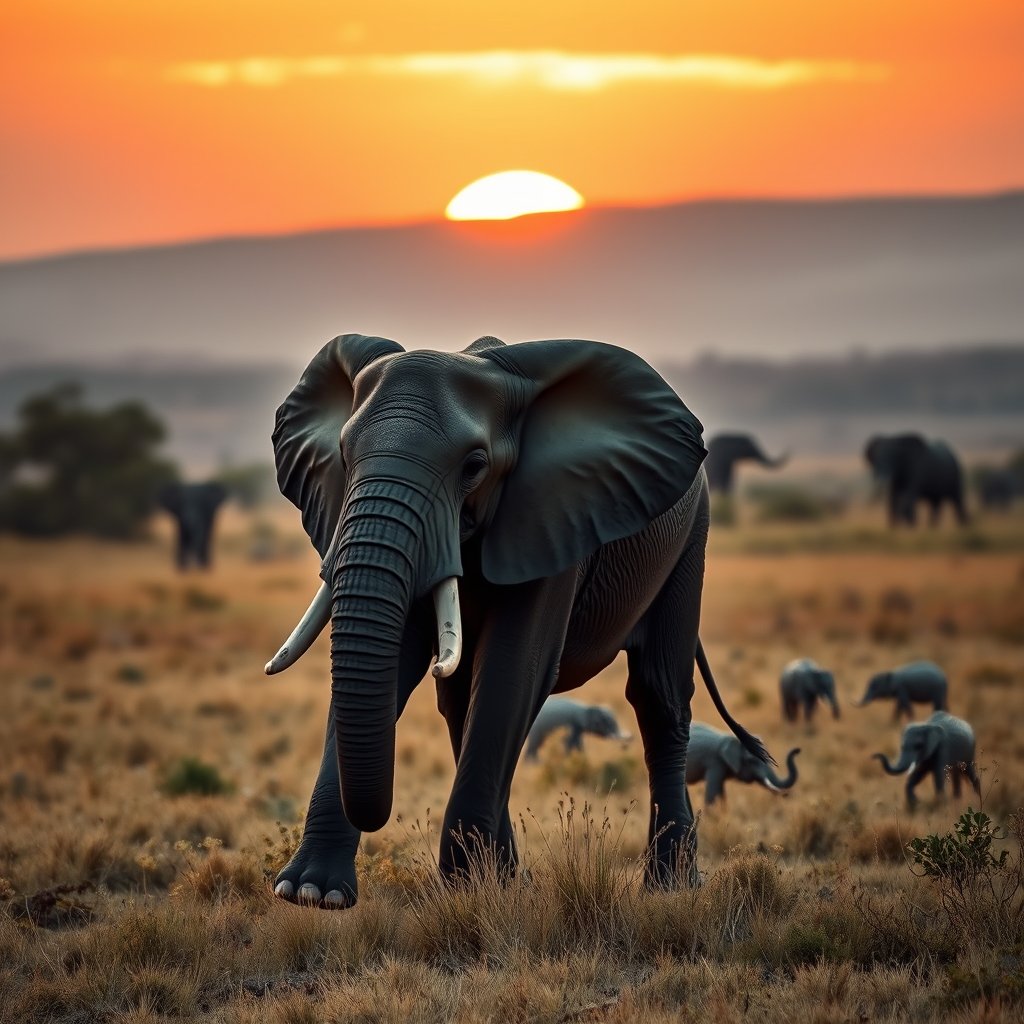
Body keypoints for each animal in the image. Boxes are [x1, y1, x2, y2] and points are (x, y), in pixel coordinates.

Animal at [262, 333, 770, 908]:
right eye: (344, 457)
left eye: (474, 465)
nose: (377, 816)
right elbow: (396, 667)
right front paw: (310, 893)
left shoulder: (552, 518)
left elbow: (514, 669)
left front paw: (466, 888)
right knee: (460, 703)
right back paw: (509, 876)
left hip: (689, 542)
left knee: (658, 697)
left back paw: (669, 886)